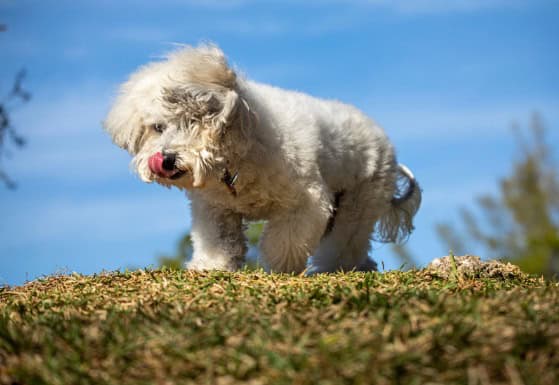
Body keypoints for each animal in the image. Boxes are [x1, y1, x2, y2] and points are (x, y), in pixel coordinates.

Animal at [104, 44, 420, 272]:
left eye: (195, 121)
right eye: (158, 127)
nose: (166, 160)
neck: (237, 159)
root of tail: (382, 139)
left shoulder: (305, 204)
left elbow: (285, 243)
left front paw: (279, 269)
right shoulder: (214, 210)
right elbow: (217, 242)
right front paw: (211, 267)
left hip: (358, 204)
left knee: (346, 241)